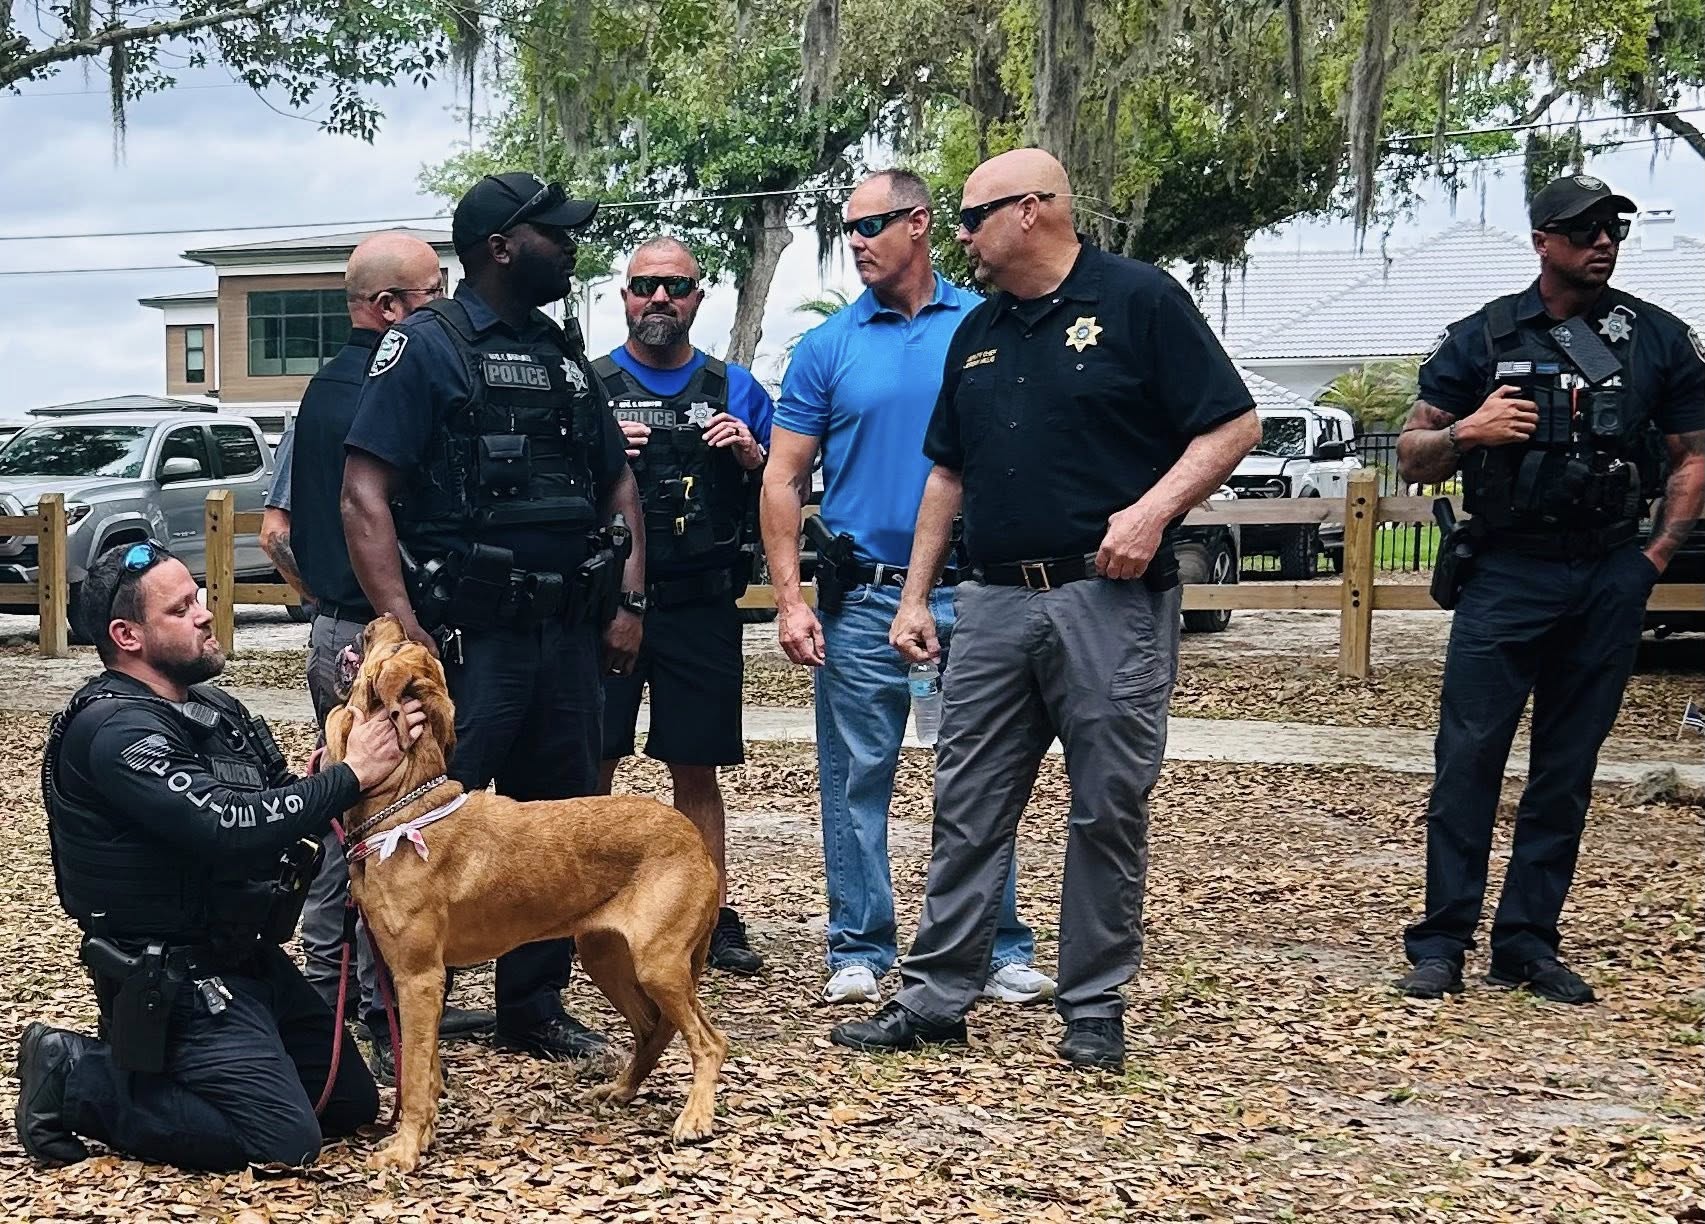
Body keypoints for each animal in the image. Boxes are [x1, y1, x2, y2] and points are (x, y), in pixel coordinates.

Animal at [324, 614, 726, 1172]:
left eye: (395, 647)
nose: (389, 617)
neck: (404, 808)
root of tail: (694, 839)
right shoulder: (419, 981)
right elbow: (429, 1069)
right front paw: (422, 1138)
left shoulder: (419, 978)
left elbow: (416, 1075)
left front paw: (404, 1149)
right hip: (606, 955)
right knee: (653, 1029)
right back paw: (621, 1091)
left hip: (659, 962)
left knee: (709, 1041)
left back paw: (695, 1118)